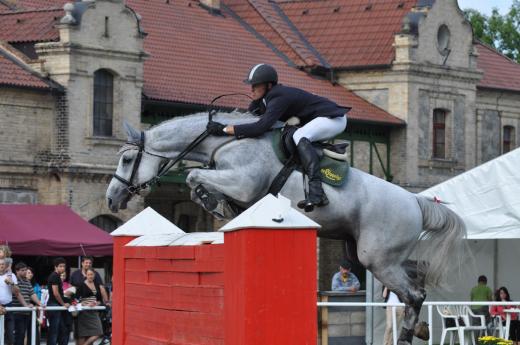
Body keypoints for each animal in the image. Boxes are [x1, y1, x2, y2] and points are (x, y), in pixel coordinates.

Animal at [106, 111, 468, 342]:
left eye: (126, 159)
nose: (112, 199)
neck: (228, 143)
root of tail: (415, 201)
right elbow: (200, 183)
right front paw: (212, 202)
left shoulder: (243, 183)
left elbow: (196, 176)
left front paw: (209, 199)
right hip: (370, 255)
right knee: (417, 276)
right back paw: (418, 329)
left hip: (377, 258)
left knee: (415, 294)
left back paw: (408, 335)